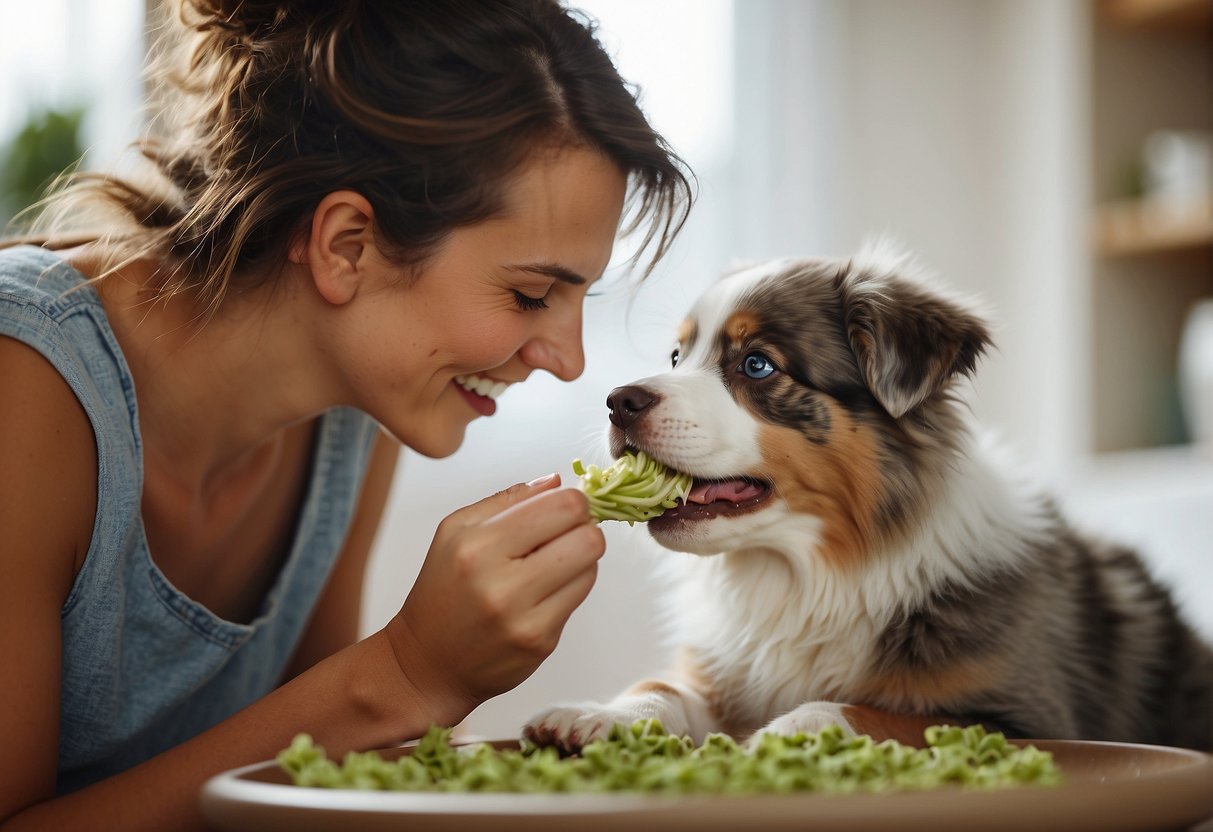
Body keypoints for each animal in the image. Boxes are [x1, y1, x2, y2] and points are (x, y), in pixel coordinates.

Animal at [526, 244, 1213, 751]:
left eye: (756, 365)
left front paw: (786, 731)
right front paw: (602, 714)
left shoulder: (1031, 718)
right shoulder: (724, 669)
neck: (810, 577)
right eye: (677, 355)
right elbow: (666, 687)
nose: (617, 401)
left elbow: (877, 712)